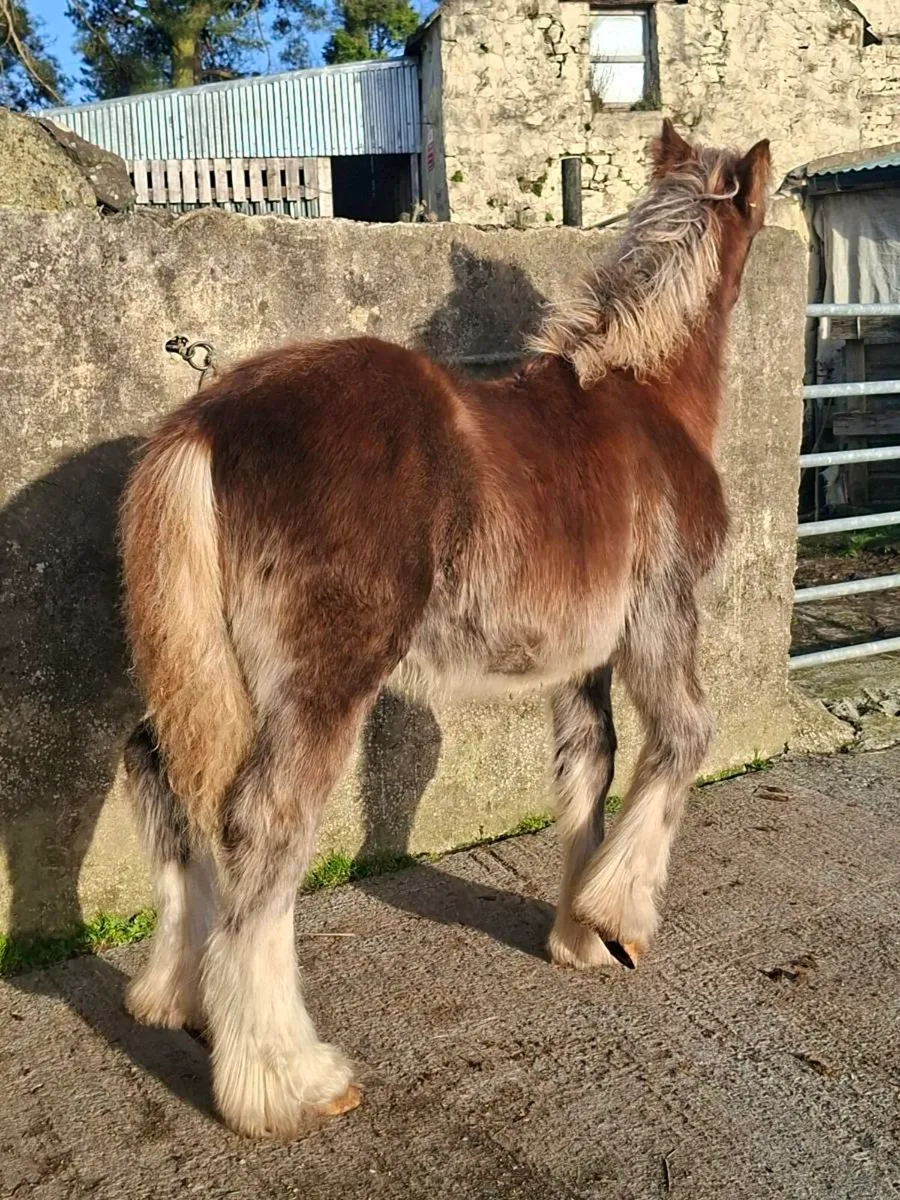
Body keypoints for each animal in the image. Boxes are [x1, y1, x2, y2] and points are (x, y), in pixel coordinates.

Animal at [119, 119, 771, 1139]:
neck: (645, 395)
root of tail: (205, 422)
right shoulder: (663, 617)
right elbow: (683, 740)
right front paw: (620, 918)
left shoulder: (579, 662)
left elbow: (588, 771)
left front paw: (576, 934)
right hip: (320, 687)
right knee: (263, 827)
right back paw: (286, 1081)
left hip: (197, 675)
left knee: (161, 780)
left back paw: (181, 996)